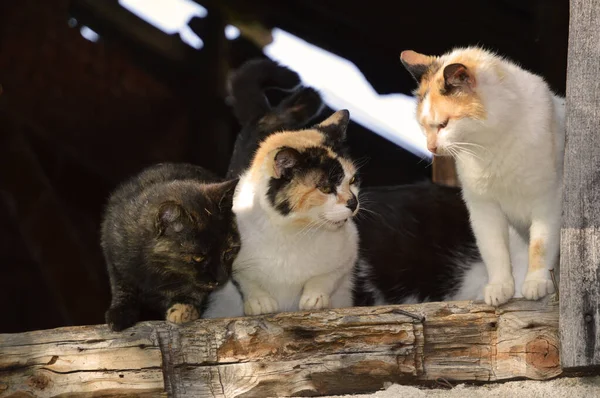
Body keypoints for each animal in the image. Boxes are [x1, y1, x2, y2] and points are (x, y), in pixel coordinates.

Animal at [101, 163, 239, 332]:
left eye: (228, 251)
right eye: (198, 257)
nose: (222, 279)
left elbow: (194, 291)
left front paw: (183, 309)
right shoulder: (113, 251)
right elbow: (122, 286)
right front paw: (119, 313)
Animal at [204, 109, 358, 318]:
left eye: (353, 180)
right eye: (326, 188)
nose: (354, 203)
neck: (294, 232)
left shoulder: (348, 253)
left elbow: (325, 277)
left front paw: (315, 298)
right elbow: (246, 281)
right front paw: (260, 302)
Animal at [400, 47, 564, 308]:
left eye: (443, 124)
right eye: (423, 126)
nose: (431, 148)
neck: (490, 146)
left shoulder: (547, 201)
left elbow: (540, 245)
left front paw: (536, 282)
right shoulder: (483, 208)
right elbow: (494, 251)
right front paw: (499, 287)